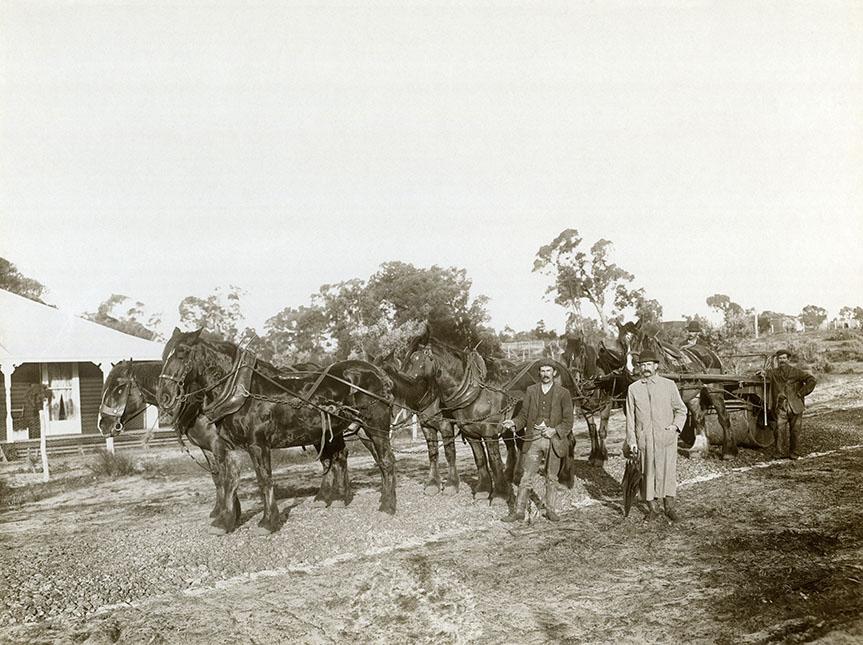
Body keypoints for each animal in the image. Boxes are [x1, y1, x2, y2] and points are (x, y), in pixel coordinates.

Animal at [157, 328, 396, 532]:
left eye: (182, 352)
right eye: (164, 354)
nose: (164, 396)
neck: (242, 392)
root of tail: (378, 373)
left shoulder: (257, 445)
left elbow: (264, 480)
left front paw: (268, 521)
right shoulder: (226, 446)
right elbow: (229, 480)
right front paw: (225, 521)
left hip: (376, 426)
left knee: (385, 460)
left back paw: (388, 505)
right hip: (349, 430)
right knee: (351, 459)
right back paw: (353, 499)